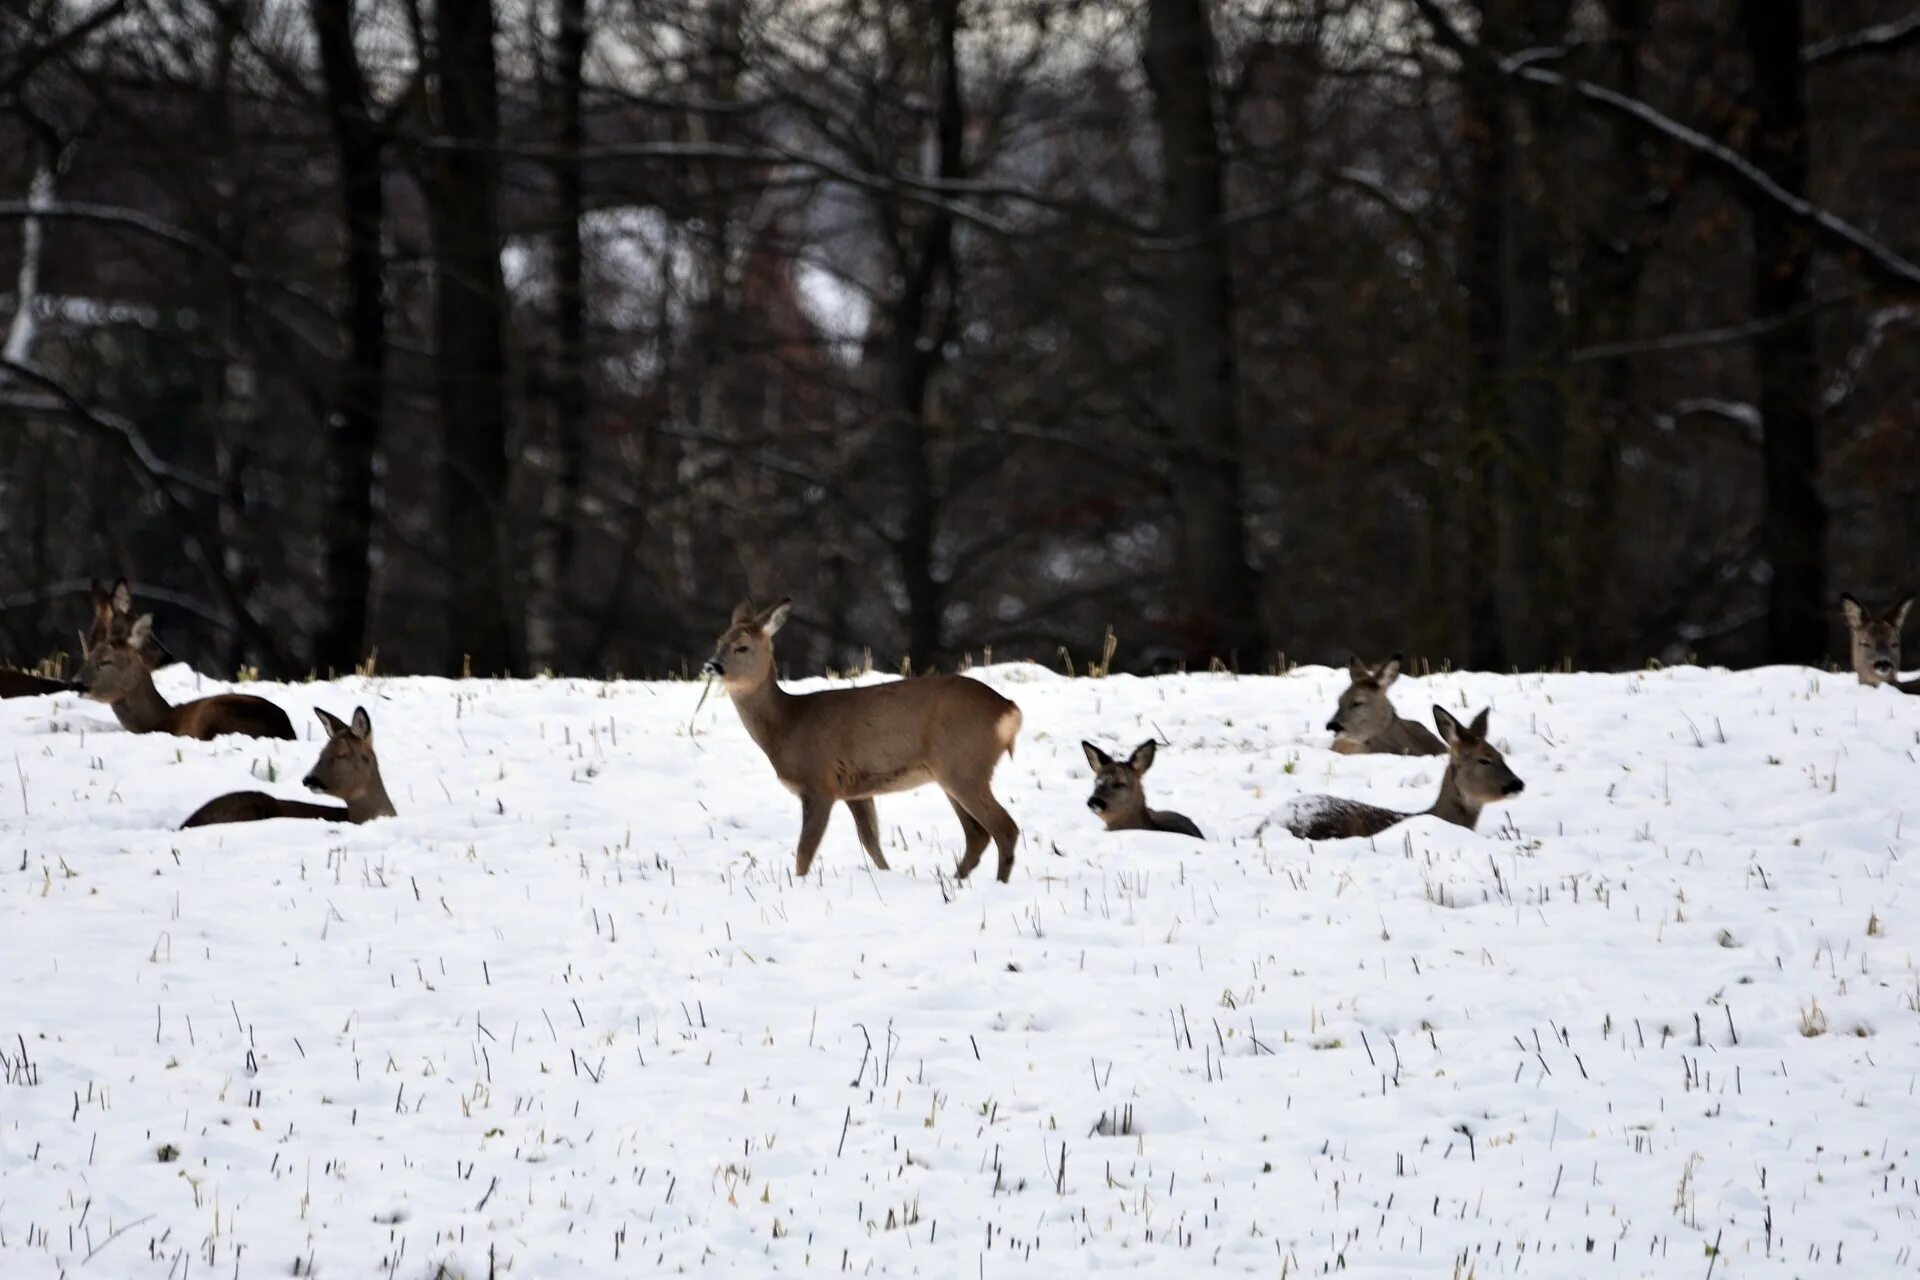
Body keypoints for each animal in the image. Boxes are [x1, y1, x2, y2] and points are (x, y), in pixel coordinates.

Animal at [77, 617, 293, 744]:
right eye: (87, 657)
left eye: (105, 661)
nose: (76, 683)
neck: (156, 721)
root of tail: (284, 729)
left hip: (215, 713)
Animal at [695, 598, 1021, 882]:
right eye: (719, 641)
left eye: (742, 646)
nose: (711, 666)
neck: (788, 725)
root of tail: (1009, 710)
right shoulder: (857, 790)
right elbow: (871, 842)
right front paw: (887, 875)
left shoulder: (819, 784)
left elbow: (804, 852)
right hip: (950, 772)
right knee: (978, 834)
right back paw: (955, 881)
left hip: (963, 764)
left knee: (1005, 828)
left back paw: (995, 884)